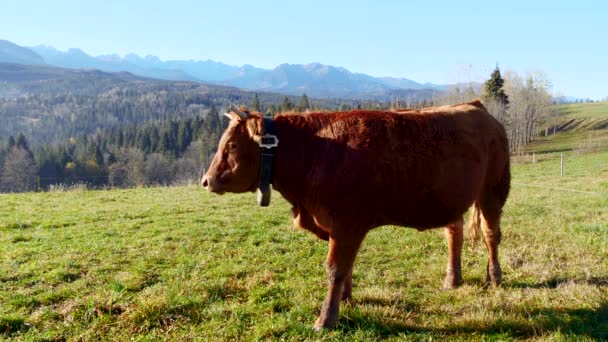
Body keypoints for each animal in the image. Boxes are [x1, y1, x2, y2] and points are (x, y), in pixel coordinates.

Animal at [202, 101, 510, 332]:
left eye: (231, 146)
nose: (206, 181)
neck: (316, 151)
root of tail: (476, 106)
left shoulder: (346, 224)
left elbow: (335, 269)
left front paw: (326, 319)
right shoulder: (338, 227)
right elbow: (345, 267)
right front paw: (347, 300)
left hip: (493, 190)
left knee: (491, 235)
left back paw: (494, 278)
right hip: (451, 200)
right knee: (454, 233)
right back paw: (452, 280)